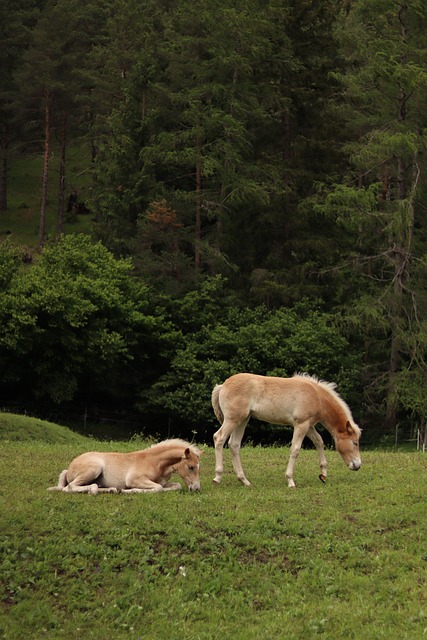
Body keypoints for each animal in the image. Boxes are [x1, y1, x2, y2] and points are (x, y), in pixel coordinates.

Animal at [48, 440, 204, 496]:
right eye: (191, 467)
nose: (197, 489)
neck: (155, 463)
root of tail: (69, 468)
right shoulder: (134, 479)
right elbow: (158, 488)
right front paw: (130, 490)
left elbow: (175, 485)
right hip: (94, 468)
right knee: (69, 487)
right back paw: (94, 490)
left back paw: (111, 489)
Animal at [212, 372, 362, 488]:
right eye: (355, 442)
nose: (358, 465)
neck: (317, 396)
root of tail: (223, 385)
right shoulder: (301, 424)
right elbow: (295, 449)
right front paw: (290, 480)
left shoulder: (308, 425)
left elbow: (319, 441)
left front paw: (323, 475)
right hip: (233, 419)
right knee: (219, 437)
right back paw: (217, 477)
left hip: (243, 419)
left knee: (234, 445)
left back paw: (244, 480)